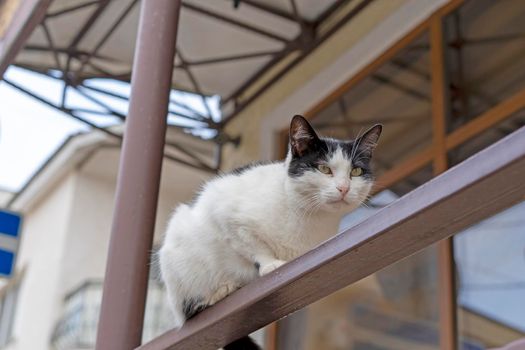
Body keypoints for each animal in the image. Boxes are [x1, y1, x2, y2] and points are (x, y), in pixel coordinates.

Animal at [159, 115, 380, 348]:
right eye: (324, 168)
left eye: (356, 172)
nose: (344, 188)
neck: (313, 218)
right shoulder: (225, 212)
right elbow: (252, 245)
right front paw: (270, 264)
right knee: (190, 309)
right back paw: (222, 290)